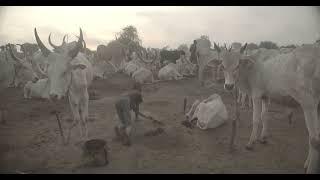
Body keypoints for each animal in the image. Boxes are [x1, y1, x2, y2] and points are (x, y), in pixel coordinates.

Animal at [212, 42, 320, 173]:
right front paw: (263, 138)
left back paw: (310, 167)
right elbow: (264, 116)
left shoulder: (256, 95)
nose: (228, 86)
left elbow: (256, 119)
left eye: (237, 65)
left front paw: (251, 143)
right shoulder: (265, 96)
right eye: (222, 66)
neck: (252, 68)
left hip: (309, 104)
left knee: (314, 139)